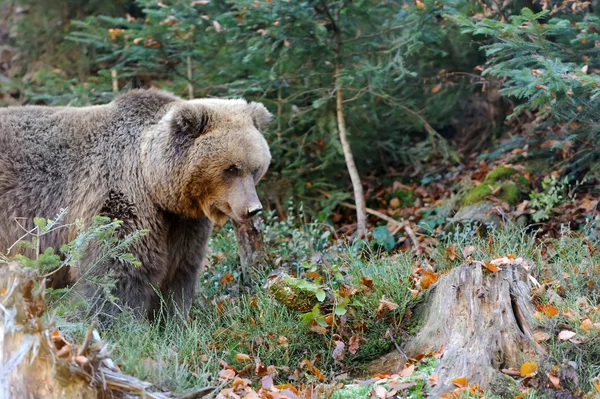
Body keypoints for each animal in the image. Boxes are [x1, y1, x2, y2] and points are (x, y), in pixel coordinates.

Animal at [0, 90, 272, 322]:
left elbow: (180, 268)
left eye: (255, 168)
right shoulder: (118, 198)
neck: (152, 182)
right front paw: (118, 322)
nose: (253, 208)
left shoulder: (182, 222)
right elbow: (118, 267)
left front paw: (171, 320)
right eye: (231, 169)